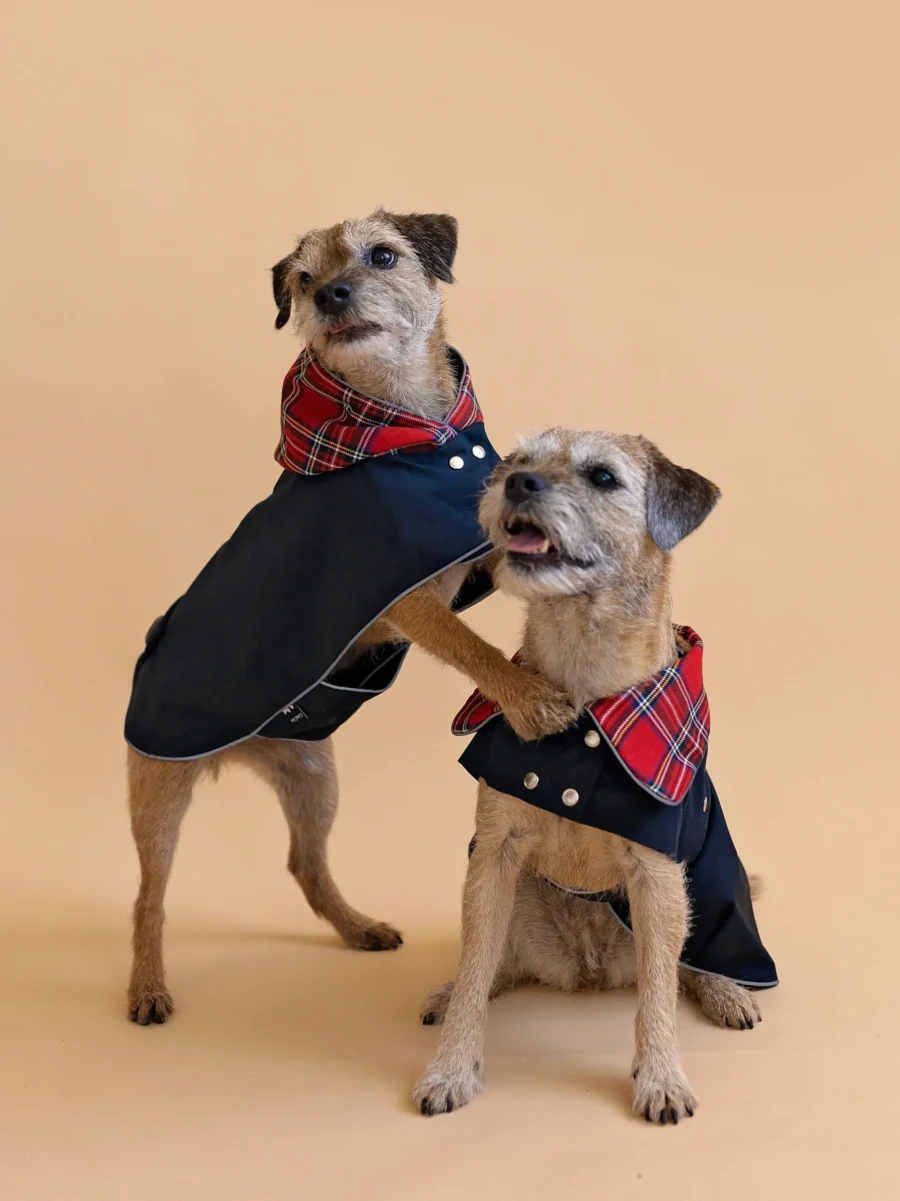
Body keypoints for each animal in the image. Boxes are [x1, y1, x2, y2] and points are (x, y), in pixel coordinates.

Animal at [123, 213, 571, 1023]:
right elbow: (471, 645)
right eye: (302, 279)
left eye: (383, 255)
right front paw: (527, 696)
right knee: (150, 895)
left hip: (314, 777)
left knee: (304, 862)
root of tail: (242, 750)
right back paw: (147, 986)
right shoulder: (405, 599)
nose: (330, 293)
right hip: (160, 789)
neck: (405, 427)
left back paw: (357, 926)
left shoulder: (471, 553)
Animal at [413, 429, 773, 1124]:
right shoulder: (493, 854)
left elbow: (658, 991)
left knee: (686, 961)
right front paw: (451, 1066)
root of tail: (589, 968)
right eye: (518, 460)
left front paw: (661, 1076)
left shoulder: (658, 873)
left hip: (705, 888)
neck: (583, 689)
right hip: (517, 895)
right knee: (493, 962)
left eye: (603, 477)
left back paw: (727, 990)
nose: (517, 482)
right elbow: (475, 966)